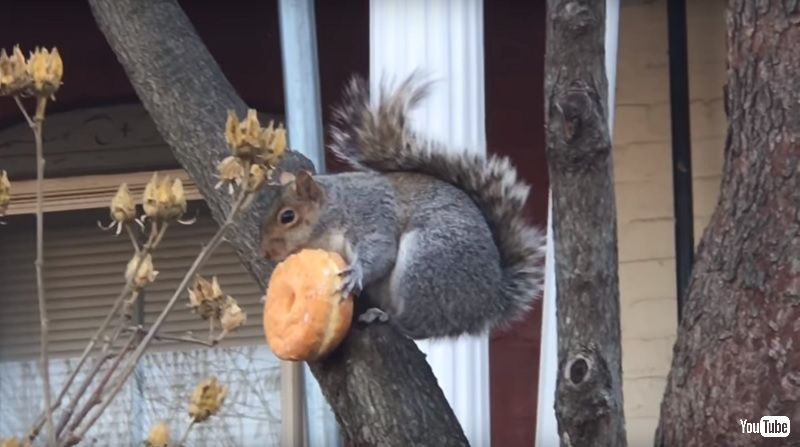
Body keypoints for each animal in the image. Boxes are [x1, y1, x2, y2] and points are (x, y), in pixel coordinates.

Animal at [260, 73, 548, 340]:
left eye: (288, 216)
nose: (267, 254)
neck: (336, 208)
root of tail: (488, 301)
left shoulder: (370, 217)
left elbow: (380, 251)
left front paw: (356, 273)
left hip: (426, 261)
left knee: (421, 324)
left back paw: (386, 317)